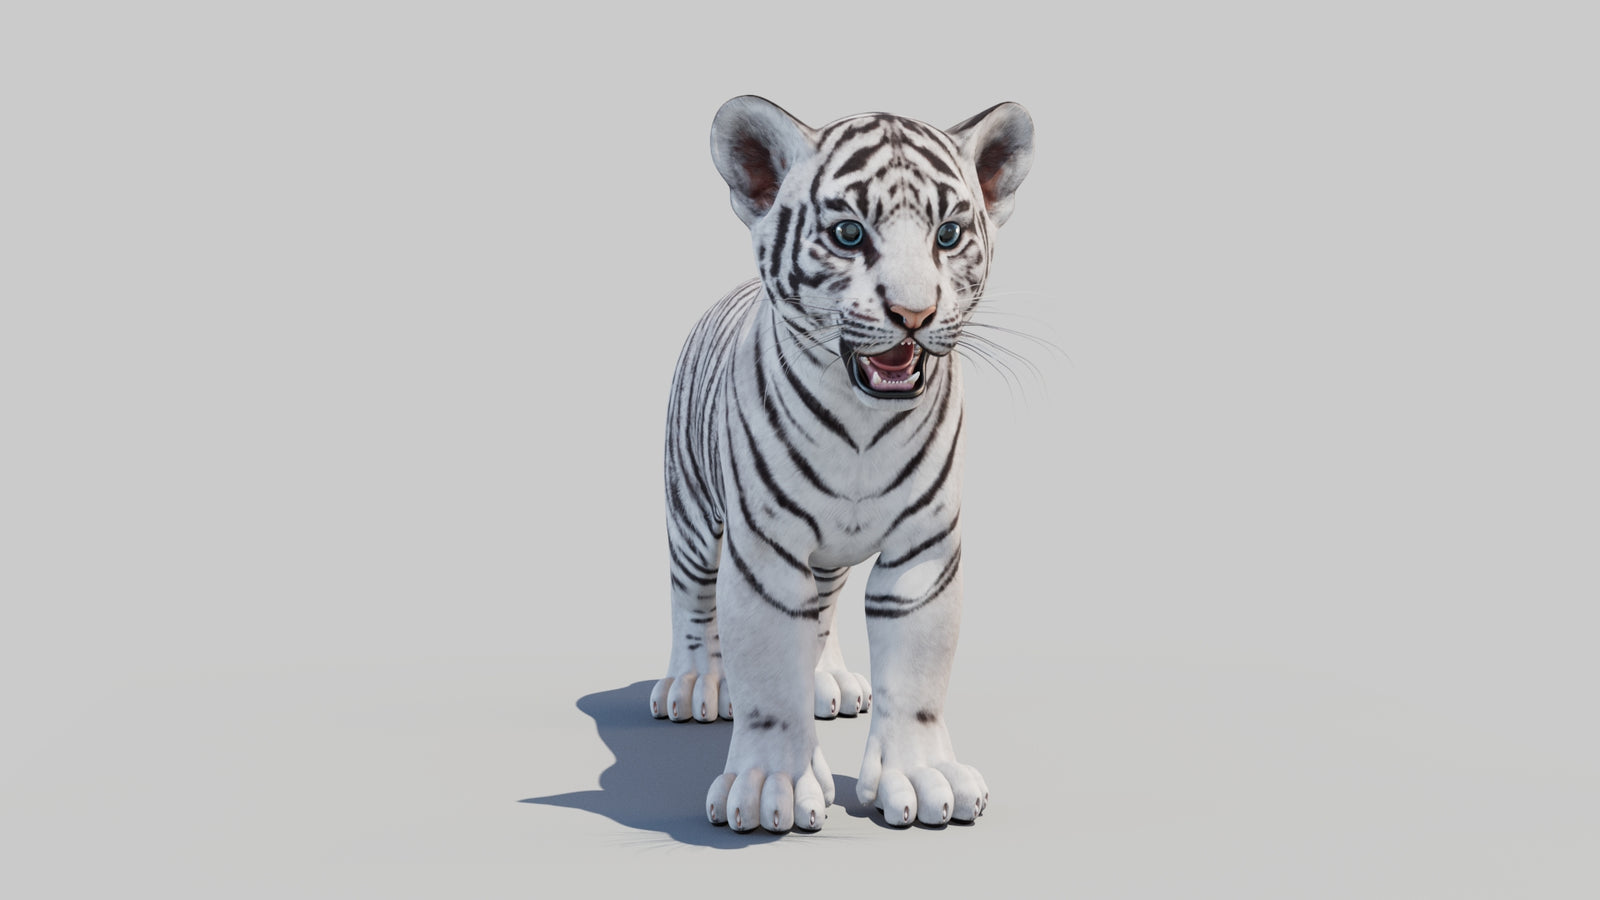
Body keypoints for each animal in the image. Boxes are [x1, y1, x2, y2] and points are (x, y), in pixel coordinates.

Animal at [651, 95, 1034, 833]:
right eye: (849, 235)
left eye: (948, 234)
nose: (914, 313)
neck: (865, 426)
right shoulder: (764, 554)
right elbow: (767, 675)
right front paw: (770, 788)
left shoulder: (923, 552)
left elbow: (917, 673)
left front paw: (921, 778)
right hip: (692, 515)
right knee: (691, 598)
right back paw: (691, 685)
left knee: (822, 607)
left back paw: (827, 680)